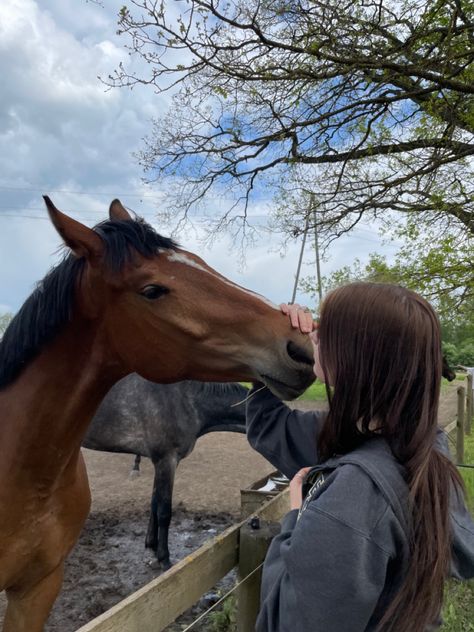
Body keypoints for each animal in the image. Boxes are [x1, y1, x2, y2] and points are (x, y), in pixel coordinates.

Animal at [83, 372, 250, 572]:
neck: (185, 400)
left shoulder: (161, 462)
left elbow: (155, 503)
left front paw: (152, 547)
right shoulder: (166, 460)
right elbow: (164, 512)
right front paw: (164, 559)